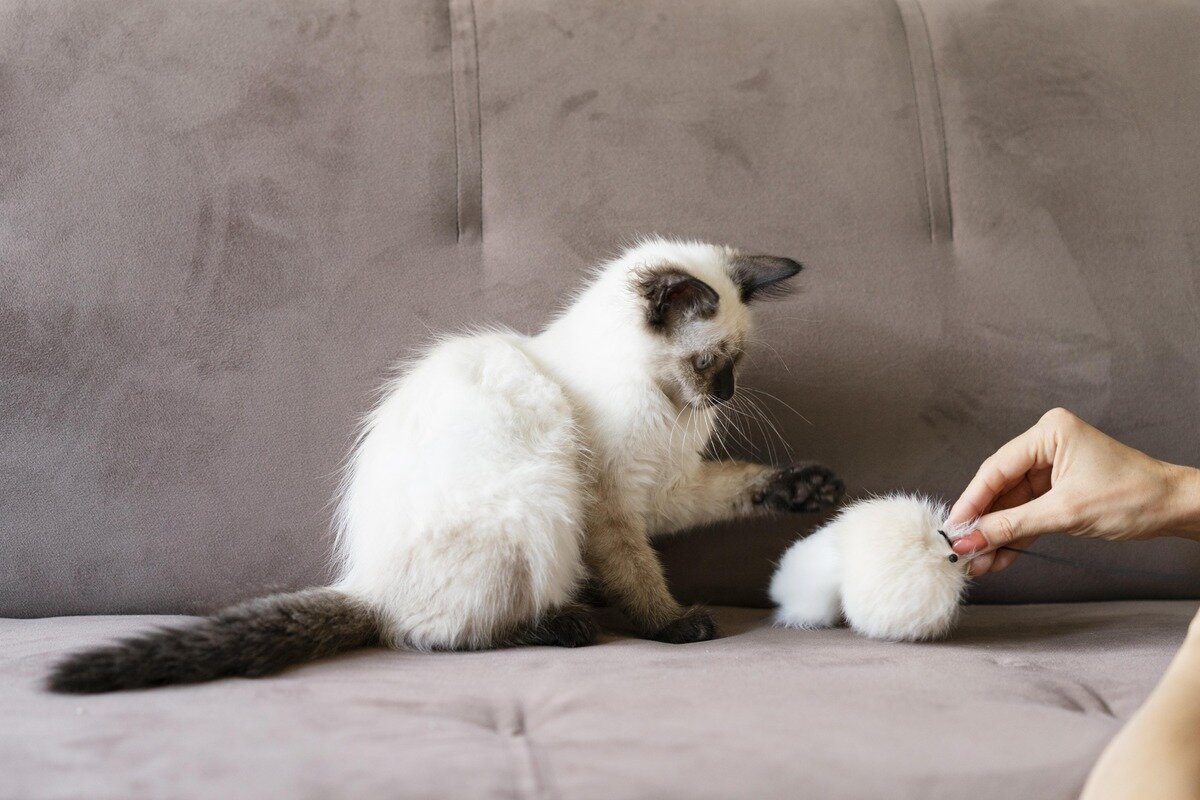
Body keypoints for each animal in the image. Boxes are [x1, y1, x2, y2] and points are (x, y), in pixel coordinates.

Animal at [49, 237, 844, 695]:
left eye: (738, 363)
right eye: (709, 362)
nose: (726, 395)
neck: (664, 410)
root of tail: (365, 585)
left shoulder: (664, 490)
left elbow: (734, 485)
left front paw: (811, 487)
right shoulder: (610, 503)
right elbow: (640, 575)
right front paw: (676, 625)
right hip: (539, 503)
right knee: (435, 635)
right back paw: (563, 625)